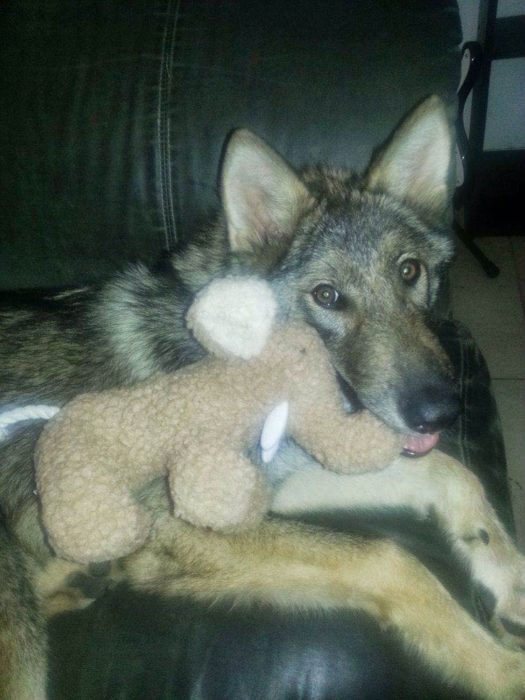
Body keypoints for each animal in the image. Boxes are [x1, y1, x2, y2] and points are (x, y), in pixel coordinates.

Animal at [3, 94, 524, 700]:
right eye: (327, 296)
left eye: (409, 271)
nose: (440, 412)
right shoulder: (173, 523)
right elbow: (387, 555)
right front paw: (503, 670)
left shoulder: (283, 479)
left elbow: (451, 472)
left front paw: (511, 581)